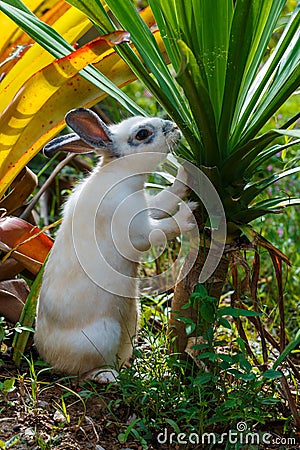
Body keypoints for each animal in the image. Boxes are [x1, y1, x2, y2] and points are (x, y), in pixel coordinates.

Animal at [34, 107, 197, 382]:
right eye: (142, 134)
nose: (174, 127)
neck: (121, 176)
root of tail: (48, 356)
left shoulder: (147, 208)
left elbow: (164, 199)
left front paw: (185, 177)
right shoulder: (140, 232)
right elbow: (165, 227)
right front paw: (189, 214)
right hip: (104, 333)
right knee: (80, 373)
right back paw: (108, 376)